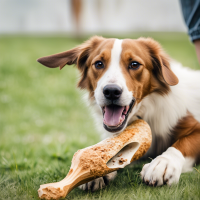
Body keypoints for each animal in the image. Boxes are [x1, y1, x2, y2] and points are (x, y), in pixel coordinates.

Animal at [38, 36, 200, 191]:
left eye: (134, 64)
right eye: (99, 64)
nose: (111, 91)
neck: (145, 113)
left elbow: (182, 144)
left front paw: (163, 163)